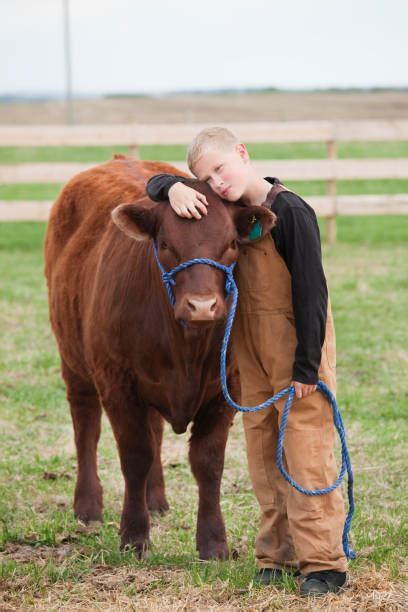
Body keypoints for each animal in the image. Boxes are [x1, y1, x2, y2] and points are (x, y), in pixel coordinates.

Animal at [43, 158, 274, 560]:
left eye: (231, 243)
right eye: (165, 244)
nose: (202, 306)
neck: (186, 348)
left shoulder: (225, 389)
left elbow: (207, 462)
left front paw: (213, 542)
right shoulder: (117, 385)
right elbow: (135, 457)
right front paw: (134, 535)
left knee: (154, 432)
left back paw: (156, 499)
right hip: (75, 363)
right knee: (86, 427)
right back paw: (87, 505)